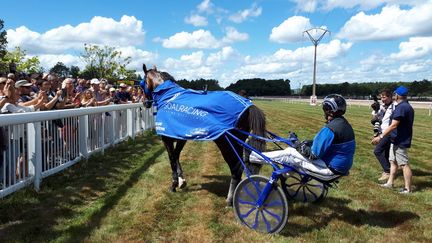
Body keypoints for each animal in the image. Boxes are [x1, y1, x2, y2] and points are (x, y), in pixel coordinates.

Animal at [142, 64, 264, 205]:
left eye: (142, 83)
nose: (145, 102)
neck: (169, 97)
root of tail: (247, 105)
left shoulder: (166, 138)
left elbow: (172, 159)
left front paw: (173, 185)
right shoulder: (180, 135)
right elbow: (177, 156)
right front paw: (181, 180)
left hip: (226, 143)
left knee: (236, 168)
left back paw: (230, 199)